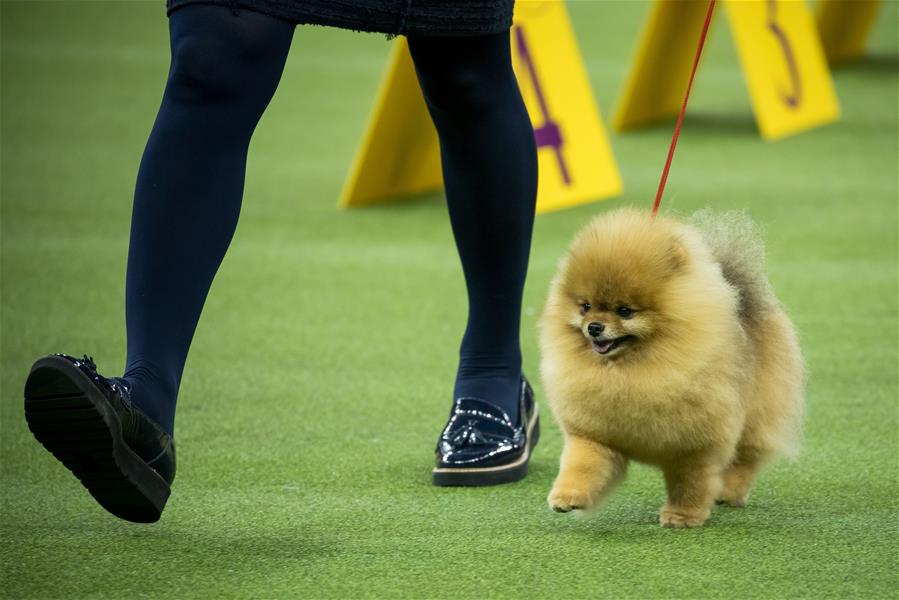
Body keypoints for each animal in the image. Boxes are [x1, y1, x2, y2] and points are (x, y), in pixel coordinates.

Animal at [536, 209, 804, 528]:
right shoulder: (594, 434)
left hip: (755, 416)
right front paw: (567, 496)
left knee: (744, 459)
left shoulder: (693, 447)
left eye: (625, 311)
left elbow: (689, 484)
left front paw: (682, 516)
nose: (594, 327)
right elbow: (581, 465)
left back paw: (729, 492)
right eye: (585, 306)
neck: (632, 370)